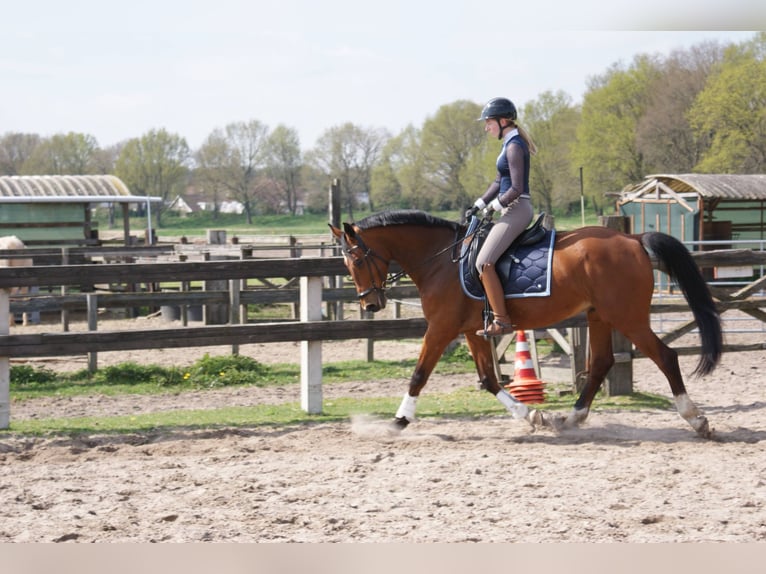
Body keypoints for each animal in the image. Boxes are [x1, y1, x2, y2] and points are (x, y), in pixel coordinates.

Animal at [329, 210, 722, 438]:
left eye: (357, 261)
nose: (370, 304)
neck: (442, 259)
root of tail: (633, 239)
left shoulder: (441, 328)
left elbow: (419, 374)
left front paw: (397, 421)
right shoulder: (470, 330)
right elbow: (489, 379)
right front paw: (533, 415)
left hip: (627, 316)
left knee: (666, 356)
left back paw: (696, 420)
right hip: (600, 315)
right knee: (600, 364)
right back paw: (570, 420)